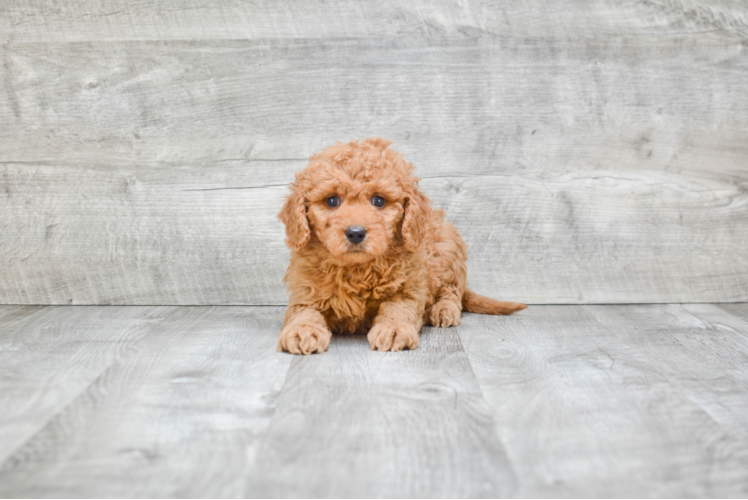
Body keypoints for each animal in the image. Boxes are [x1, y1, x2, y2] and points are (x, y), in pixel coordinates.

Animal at [276, 139, 524, 354]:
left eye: (378, 201)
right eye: (331, 201)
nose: (355, 233)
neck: (357, 269)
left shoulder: (408, 288)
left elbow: (398, 309)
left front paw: (393, 329)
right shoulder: (305, 292)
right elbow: (303, 312)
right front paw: (302, 331)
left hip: (448, 246)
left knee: (452, 291)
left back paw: (443, 310)